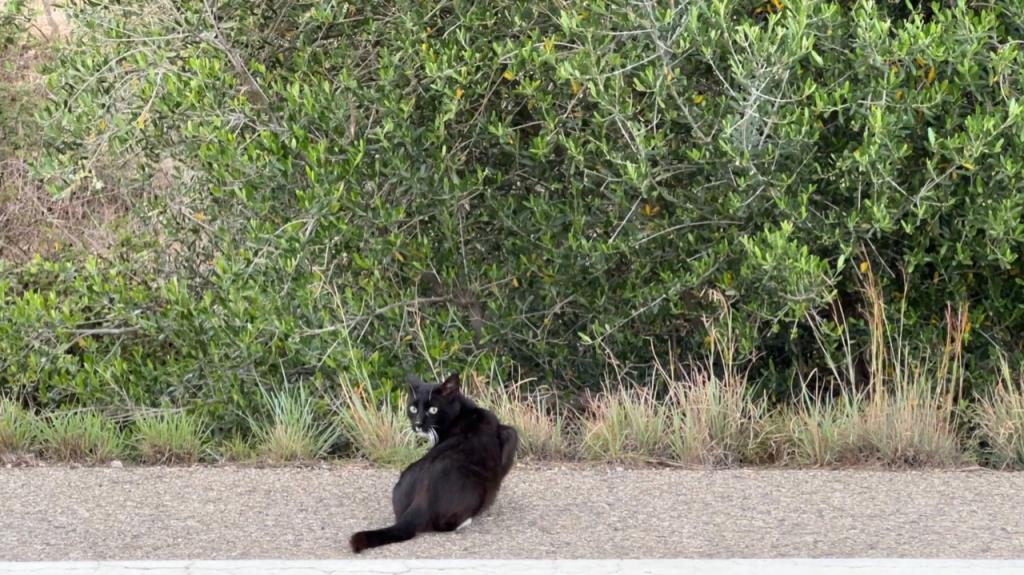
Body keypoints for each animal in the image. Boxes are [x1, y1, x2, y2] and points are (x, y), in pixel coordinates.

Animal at [350, 372, 520, 552]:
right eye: (413, 408)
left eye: (433, 410)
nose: (417, 424)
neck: (463, 412)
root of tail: (421, 503)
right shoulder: (507, 434)